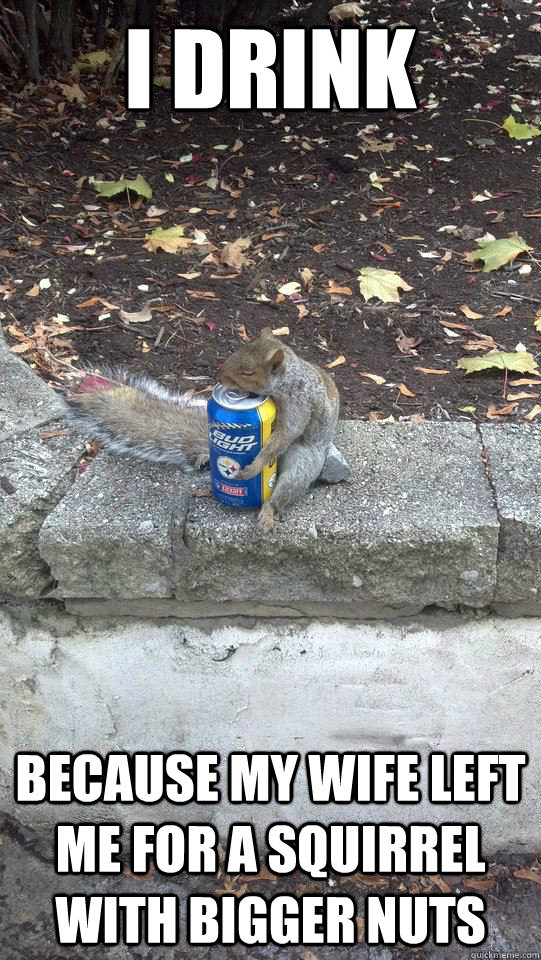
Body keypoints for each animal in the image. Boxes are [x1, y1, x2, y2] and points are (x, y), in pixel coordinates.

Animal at [65, 332, 340, 536]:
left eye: (248, 373)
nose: (217, 377)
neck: (285, 382)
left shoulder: (300, 402)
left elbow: (286, 433)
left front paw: (255, 465)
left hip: (304, 461)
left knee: (288, 485)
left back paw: (268, 511)